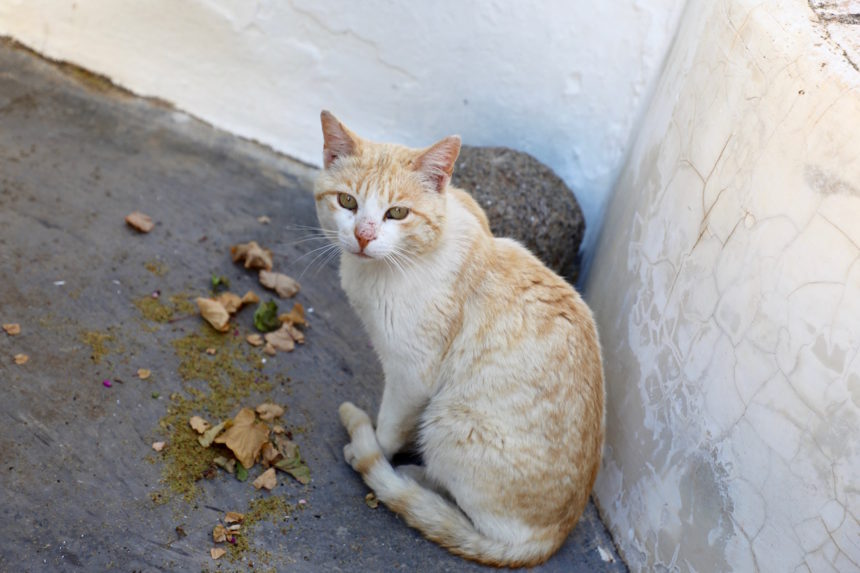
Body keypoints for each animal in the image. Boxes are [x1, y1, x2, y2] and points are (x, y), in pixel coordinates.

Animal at [314, 109, 604, 564]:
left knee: (464, 513)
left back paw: (409, 476)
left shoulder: (412, 374)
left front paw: (374, 447)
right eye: (347, 203)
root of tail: (552, 538)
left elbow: (390, 426)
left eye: (398, 212)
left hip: (448, 420)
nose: (362, 235)